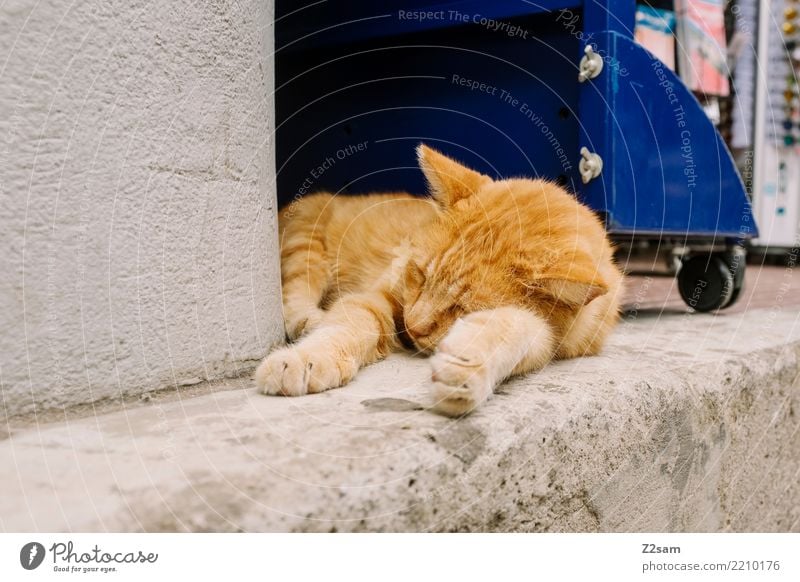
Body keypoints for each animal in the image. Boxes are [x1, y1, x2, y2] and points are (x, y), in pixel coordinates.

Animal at [258, 144, 624, 418]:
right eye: (420, 274)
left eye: (462, 307)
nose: (411, 327)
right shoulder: (379, 296)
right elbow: (349, 324)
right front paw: (307, 359)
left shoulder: (551, 340)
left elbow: (516, 326)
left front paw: (467, 365)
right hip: (304, 242)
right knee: (293, 291)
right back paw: (307, 320)